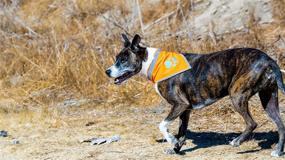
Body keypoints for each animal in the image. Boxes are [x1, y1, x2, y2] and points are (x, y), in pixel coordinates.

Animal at [104, 34, 284, 158]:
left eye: (123, 60)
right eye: (117, 59)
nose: (107, 71)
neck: (152, 62)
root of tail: (268, 59)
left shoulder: (180, 104)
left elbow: (162, 125)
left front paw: (172, 141)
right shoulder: (185, 110)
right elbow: (182, 132)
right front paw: (176, 147)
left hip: (237, 95)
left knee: (252, 123)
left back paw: (237, 141)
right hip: (269, 100)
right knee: (281, 125)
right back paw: (278, 151)